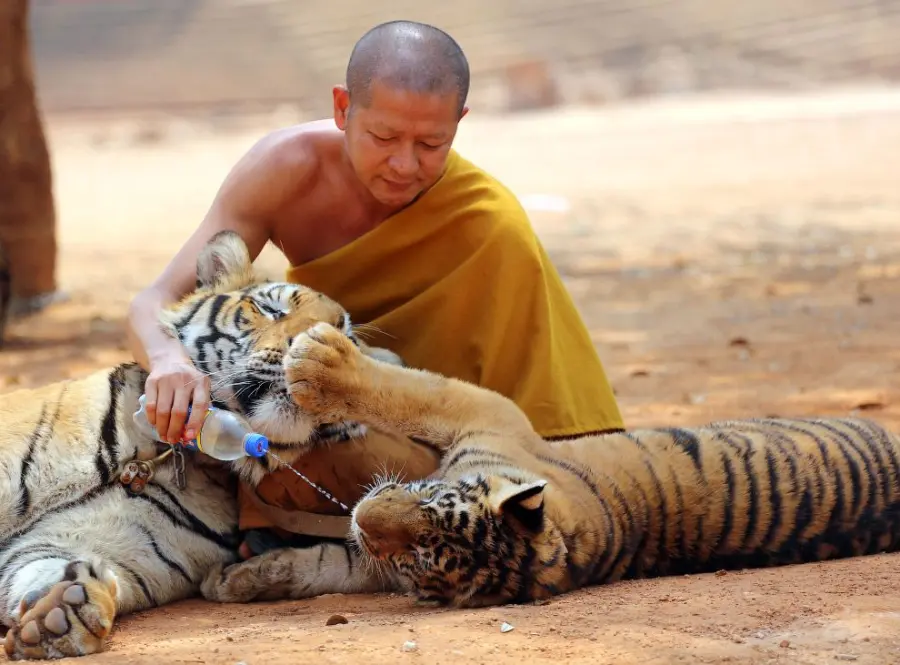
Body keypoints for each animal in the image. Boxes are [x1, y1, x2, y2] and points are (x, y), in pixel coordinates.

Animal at [0, 230, 409, 660]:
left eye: (345, 340)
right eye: (271, 309)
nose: (308, 348)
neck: (164, 454)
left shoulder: (101, 544)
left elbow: (44, 565)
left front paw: (60, 610)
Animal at [202, 319, 900, 609]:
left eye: (420, 556)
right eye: (426, 509)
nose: (366, 516)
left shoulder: (482, 410)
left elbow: (407, 391)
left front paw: (320, 361)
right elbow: (323, 563)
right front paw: (237, 581)